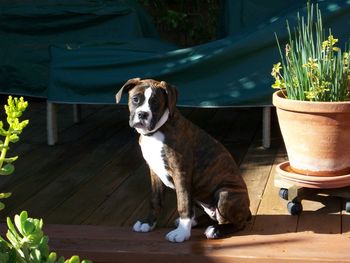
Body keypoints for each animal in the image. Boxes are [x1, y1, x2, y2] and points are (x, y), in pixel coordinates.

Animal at [116, 78, 250, 243]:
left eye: (155, 103)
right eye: (135, 99)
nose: (142, 114)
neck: (157, 131)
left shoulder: (181, 172)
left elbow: (183, 203)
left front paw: (181, 233)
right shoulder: (154, 172)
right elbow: (155, 200)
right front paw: (148, 223)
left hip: (225, 193)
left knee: (237, 223)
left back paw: (215, 230)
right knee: (212, 216)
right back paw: (196, 222)